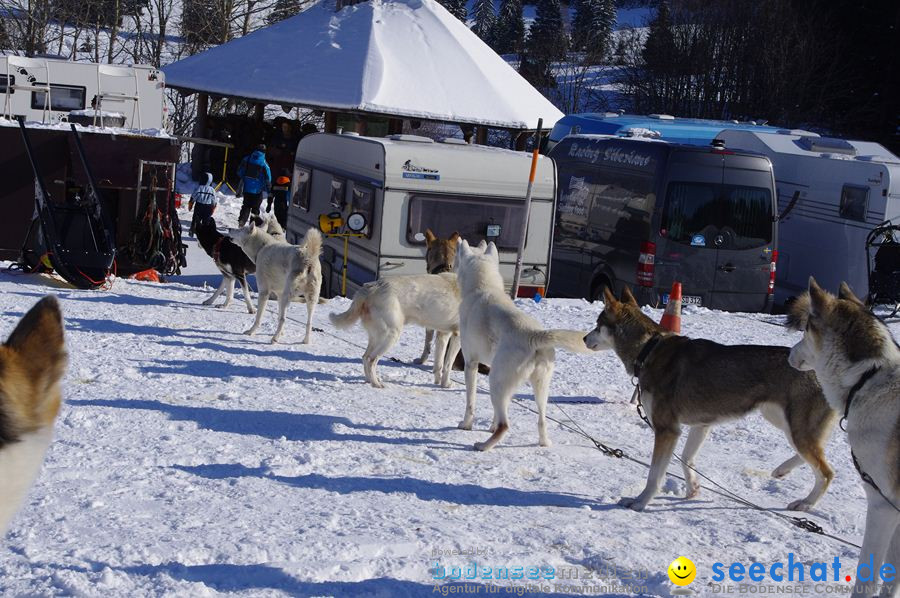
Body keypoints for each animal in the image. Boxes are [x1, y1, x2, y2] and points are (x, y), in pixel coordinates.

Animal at [326, 274, 460, 392]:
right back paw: (376, 384)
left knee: (365, 357)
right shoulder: (457, 336)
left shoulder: (443, 334)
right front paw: (445, 384)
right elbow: (448, 364)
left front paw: (438, 383)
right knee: (371, 359)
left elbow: (439, 364)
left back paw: (370, 381)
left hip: (377, 337)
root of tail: (372, 287)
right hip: (391, 336)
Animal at [458, 239, 592, 450]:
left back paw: (483, 446)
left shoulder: (471, 364)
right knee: (541, 421)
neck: (484, 287)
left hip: (496, 383)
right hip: (540, 388)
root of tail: (533, 335)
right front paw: (490, 426)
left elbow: (470, 402)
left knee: (505, 425)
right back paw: (543, 442)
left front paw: (466, 425)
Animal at [584, 288, 836, 512]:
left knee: (826, 472)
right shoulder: (701, 425)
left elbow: (655, 475)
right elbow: (686, 459)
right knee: (816, 455)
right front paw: (693, 489)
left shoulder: (666, 430)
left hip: (796, 429)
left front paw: (640, 502)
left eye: (597, 324)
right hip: (781, 421)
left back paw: (806, 503)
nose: (585, 338)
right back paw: (782, 470)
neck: (648, 350)